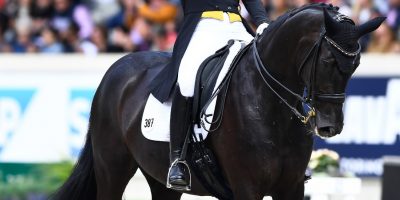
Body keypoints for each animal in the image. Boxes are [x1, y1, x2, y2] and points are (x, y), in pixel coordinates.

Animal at [53, 3, 384, 200]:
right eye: (328, 60)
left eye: (355, 65)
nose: (330, 126)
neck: (269, 105)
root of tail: (118, 67)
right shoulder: (247, 187)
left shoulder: (291, 187)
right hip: (112, 170)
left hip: (159, 178)